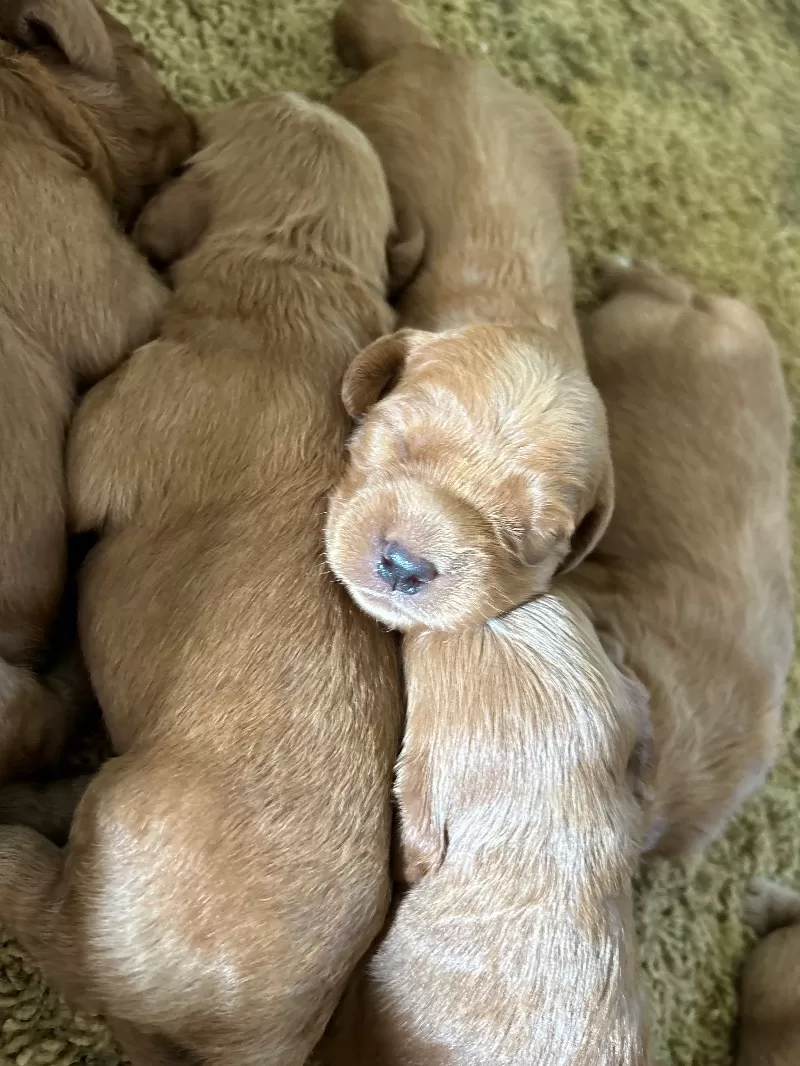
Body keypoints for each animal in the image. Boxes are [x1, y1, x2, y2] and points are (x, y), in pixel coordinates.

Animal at [0, 91, 403, 1066]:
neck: (300, 272)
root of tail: (253, 1034)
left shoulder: (119, 424)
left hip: (116, 835)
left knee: (50, 916)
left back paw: (9, 840)